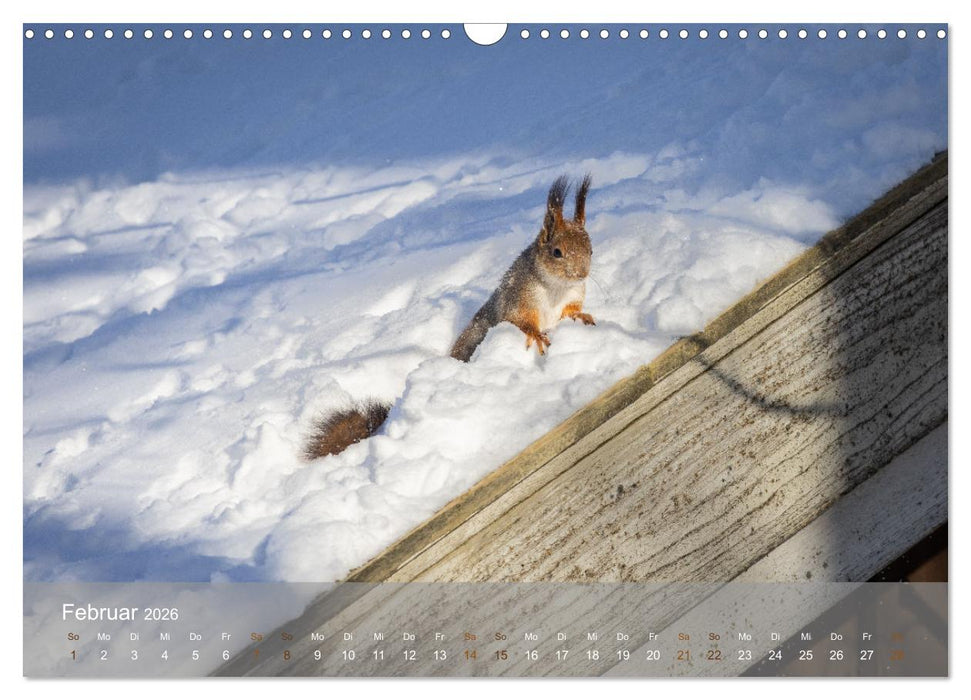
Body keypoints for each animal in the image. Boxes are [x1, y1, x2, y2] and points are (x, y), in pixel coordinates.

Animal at [303, 175, 595, 460]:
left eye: (590, 249)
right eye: (556, 252)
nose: (581, 274)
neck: (556, 287)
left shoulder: (572, 296)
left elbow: (571, 310)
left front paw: (582, 316)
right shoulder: (518, 299)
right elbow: (520, 321)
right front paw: (536, 335)